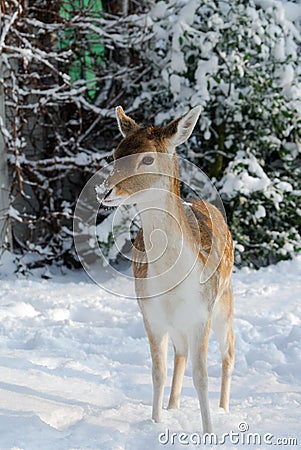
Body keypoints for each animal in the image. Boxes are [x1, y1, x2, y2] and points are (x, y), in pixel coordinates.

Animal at [101, 105, 234, 432]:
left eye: (148, 158)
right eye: (115, 152)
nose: (104, 190)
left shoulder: (202, 314)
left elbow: (202, 377)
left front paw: (209, 431)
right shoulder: (151, 315)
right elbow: (157, 371)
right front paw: (155, 422)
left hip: (225, 300)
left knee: (229, 352)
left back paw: (224, 410)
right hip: (177, 323)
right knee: (180, 354)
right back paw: (173, 406)